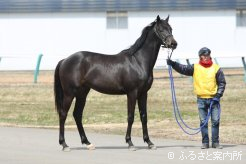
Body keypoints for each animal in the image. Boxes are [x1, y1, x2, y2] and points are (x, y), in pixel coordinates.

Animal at [53, 15, 177, 151]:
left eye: (171, 28)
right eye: (160, 29)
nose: (173, 44)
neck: (138, 61)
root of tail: (65, 60)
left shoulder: (143, 93)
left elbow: (144, 116)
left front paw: (149, 142)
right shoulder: (132, 93)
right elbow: (130, 117)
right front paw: (130, 143)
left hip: (82, 93)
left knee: (77, 114)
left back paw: (87, 143)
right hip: (69, 93)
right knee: (63, 114)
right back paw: (64, 144)